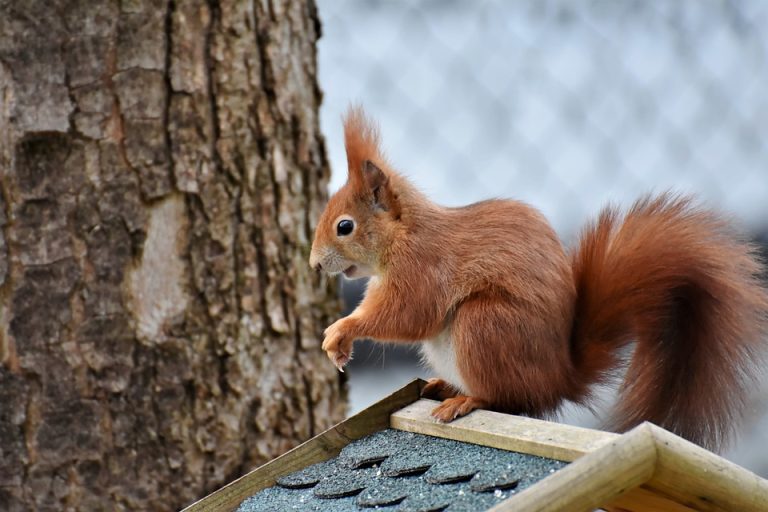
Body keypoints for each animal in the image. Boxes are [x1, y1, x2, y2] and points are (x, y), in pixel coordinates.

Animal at [308, 107, 768, 448]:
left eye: (344, 226)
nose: (313, 264)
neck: (404, 234)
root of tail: (560, 378)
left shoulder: (422, 268)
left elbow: (407, 315)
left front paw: (341, 331)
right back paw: (444, 387)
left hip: (484, 324)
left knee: (508, 399)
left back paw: (464, 400)